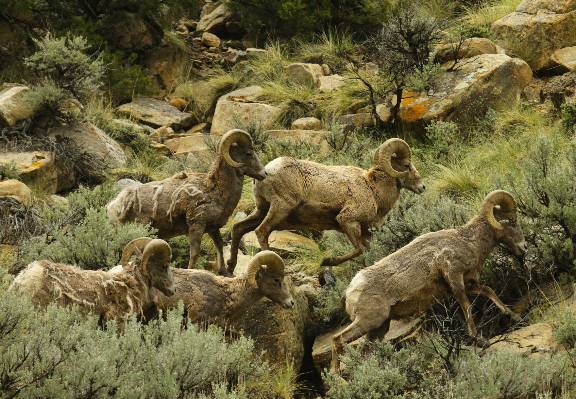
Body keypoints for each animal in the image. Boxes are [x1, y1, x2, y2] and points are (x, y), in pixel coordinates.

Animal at [107, 130, 266, 276]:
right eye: (248, 153)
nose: (264, 174)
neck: (216, 190)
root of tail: (118, 203)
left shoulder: (213, 228)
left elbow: (219, 247)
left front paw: (224, 272)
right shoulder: (196, 225)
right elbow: (194, 253)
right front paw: (191, 271)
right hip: (142, 227)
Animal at [227, 138, 426, 276]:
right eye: (406, 165)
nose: (422, 187)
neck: (373, 189)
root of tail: (265, 171)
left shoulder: (364, 231)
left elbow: (367, 253)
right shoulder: (347, 221)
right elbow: (359, 250)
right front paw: (326, 261)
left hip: (262, 210)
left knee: (238, 229)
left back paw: (230, 267)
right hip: (280, 208)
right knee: (262, 231)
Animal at [330, 191, 528, 372]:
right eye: (512, 221)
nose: (524, 247)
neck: (467, 242)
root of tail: (350, 291)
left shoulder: (468, 283)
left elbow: (488, 291)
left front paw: (515, 317)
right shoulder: (454, 277)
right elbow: (466, 305)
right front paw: (479, 340)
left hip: (378, 328)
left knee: (365, 352)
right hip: (368, 321)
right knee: (337, 340)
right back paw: (337, 377)